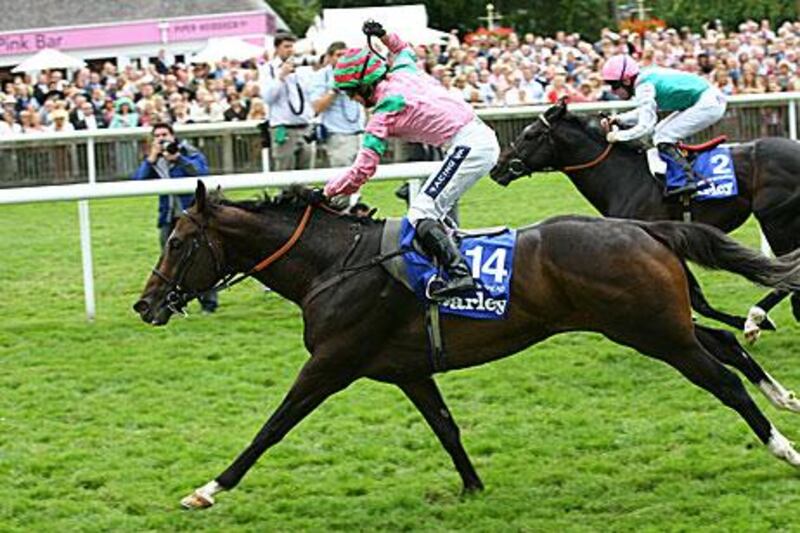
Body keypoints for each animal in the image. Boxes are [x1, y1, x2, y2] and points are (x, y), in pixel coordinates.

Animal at [134, 181, 800, 510]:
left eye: (178, 242)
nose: (145, 304)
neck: (335, 264)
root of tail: (644, 226)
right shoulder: (404, 370)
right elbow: (446, 426)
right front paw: (473, 488)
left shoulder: (331, 363)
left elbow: (271, 428)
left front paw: (208, 489)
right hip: (657, 323)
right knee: (723, 342)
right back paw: (783, 395)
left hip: (650, 331)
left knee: (723, 380)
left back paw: (783, 447)